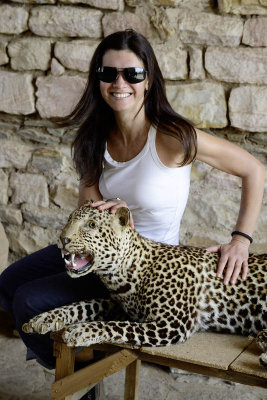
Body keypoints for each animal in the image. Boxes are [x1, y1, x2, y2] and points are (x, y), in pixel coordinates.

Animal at [23, 203, 267, 366]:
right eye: (69, 219)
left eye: (91, 224)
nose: (63, 239)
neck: (122, 275)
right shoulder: (119, 306)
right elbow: (82, 305)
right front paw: (43, 318)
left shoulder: (172, 325)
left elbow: (114, 326)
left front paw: (81, 330)